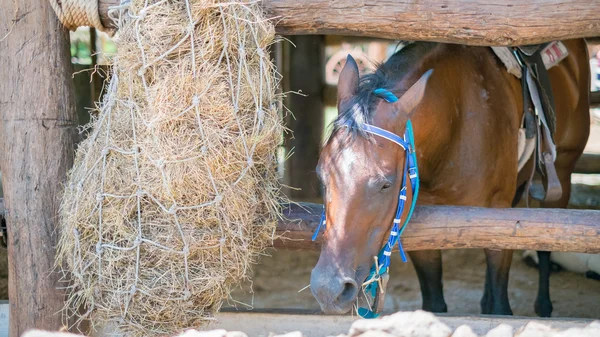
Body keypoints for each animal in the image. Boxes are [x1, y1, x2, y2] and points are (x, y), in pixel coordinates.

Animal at [310, 38, 592, 316]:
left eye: (385, 184)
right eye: (322, 176)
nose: (328, 290)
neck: (454, 125)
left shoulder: (501, 219)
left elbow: (502, 305)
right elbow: (434, 304)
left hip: (561, 173)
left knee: (547, 243)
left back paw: (544, 305)